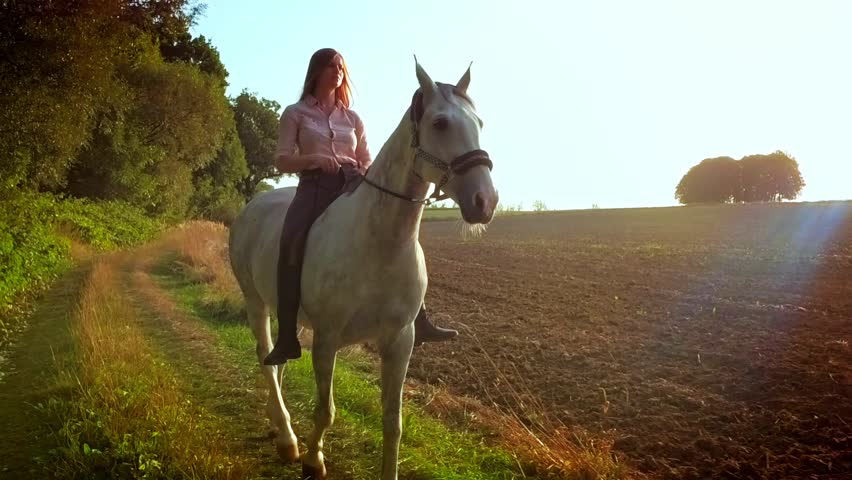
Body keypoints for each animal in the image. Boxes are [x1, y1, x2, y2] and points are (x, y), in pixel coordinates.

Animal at [228, 61, 500, 480]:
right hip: (254, 301)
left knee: (279, 359)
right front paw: (313, 460)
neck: (380, 245)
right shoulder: (327, 340)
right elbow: (325, 411)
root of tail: (252, 207)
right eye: (439, 123)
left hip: (289, 317)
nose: (485, 202)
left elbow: (393, 422)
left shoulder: (400, 342)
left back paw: (278, 426)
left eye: (480, 122)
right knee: (266, 360)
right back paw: (288, 439)